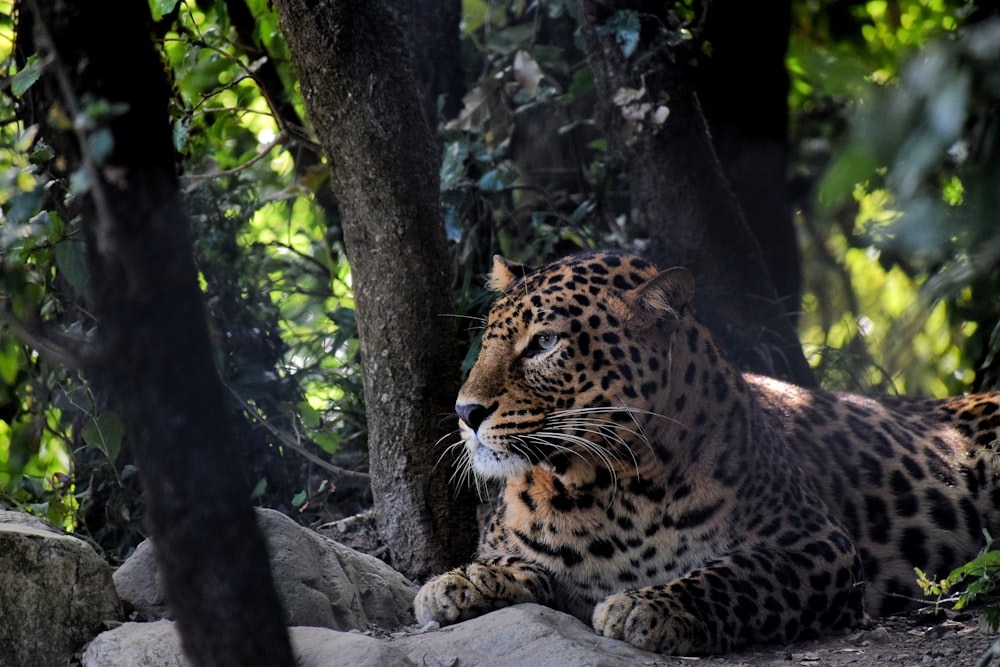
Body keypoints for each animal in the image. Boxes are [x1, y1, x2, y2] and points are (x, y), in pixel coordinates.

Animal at [412, 248, 1000, 656]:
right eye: (488, 340)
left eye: (544, 343)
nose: (465, 411)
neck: (606, 488)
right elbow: (513, 561)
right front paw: (458, 582)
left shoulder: (818, 545)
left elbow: (736, 574)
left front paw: (649, 607)